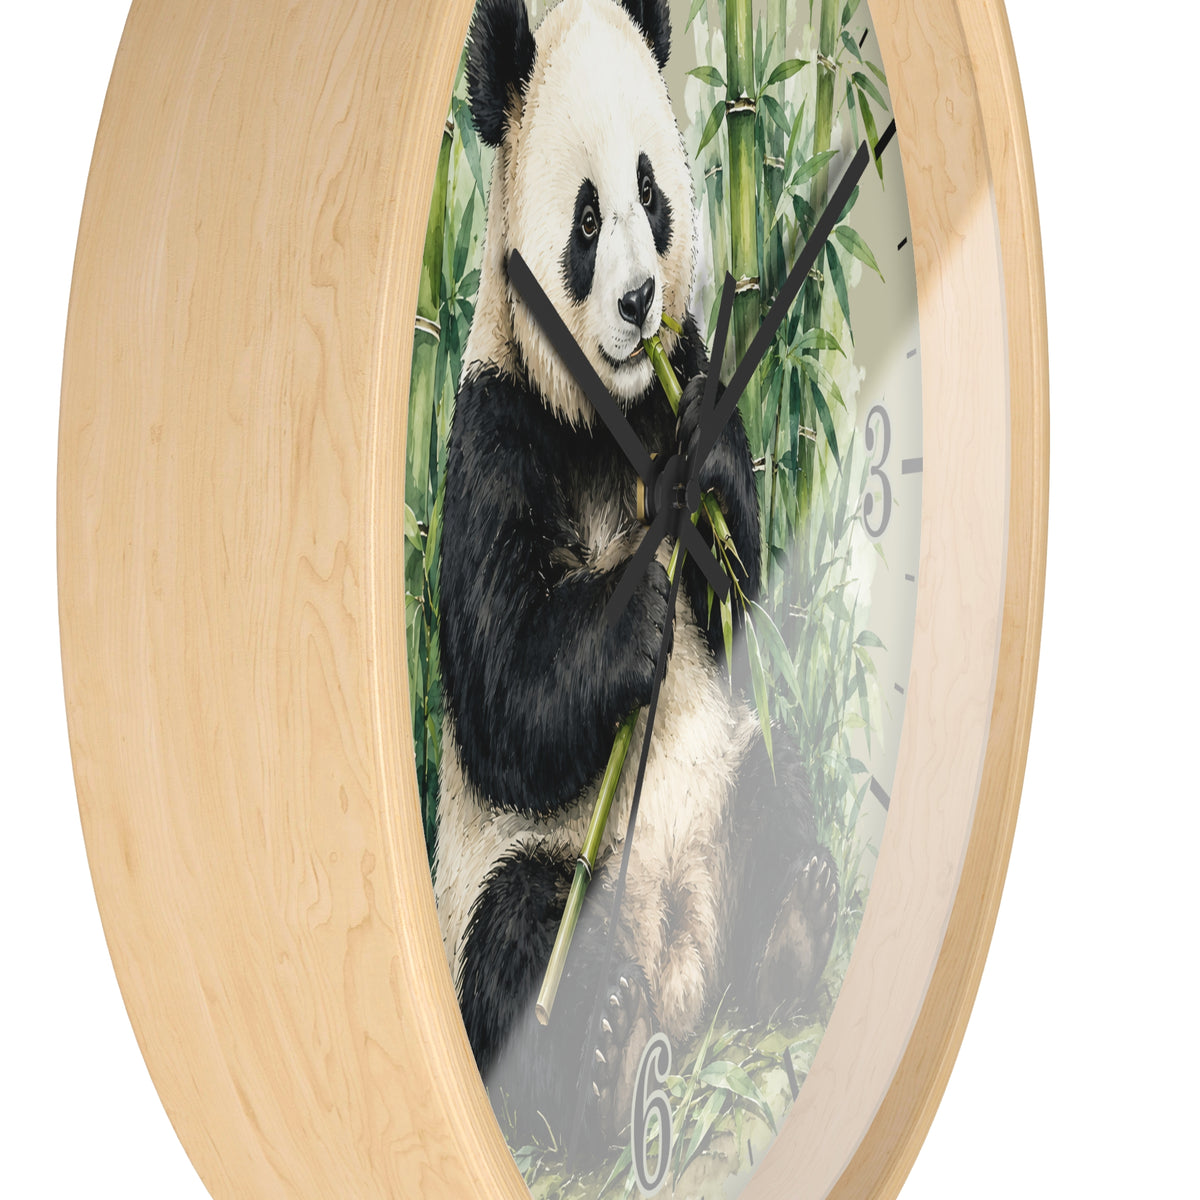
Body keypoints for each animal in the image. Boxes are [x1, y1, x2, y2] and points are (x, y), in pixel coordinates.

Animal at [433, 0, 839, 1153]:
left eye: (652, 194)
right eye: (583, 217)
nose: (637, 298)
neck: (605, 415)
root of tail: (681, 984)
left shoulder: (692, 368)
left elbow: (744, 591)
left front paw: (704, 486)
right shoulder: (493, 434)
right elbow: (505, 698)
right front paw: (629, 623)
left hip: (733, 775)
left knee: (780, 785)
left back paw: (790, 922)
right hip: (517, 870)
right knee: (520, 930)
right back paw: (602, 1050)